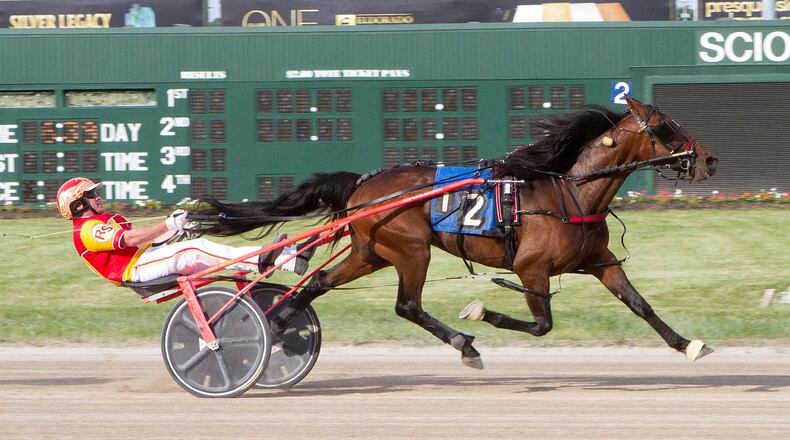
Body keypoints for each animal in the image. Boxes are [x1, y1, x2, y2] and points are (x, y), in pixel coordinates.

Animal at [191, 96, 719, 368]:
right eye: (666, 129)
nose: (709, 159)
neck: (569, 193)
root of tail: (362, 183)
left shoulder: (599, 263)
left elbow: (640, 304)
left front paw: (688, 344)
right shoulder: (531, 269)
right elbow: (542, 324)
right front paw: (481, 312)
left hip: (371, 250)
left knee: (316, 285)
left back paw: (278, 326)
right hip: (410, 250)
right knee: (407, 305)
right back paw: (464, 344)